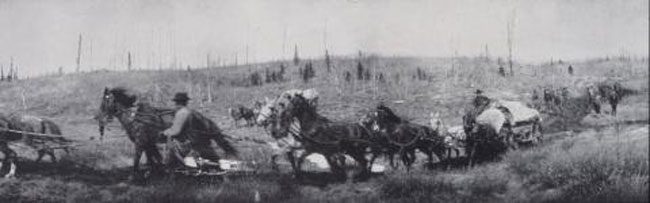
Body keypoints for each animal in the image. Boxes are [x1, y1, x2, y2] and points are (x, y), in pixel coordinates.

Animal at [96, 87, 238, 179]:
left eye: (106, 101)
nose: (99, 117)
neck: (135, 117)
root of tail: (203, 118)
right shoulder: (148, 143)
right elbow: (154, 159)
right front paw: (156, 172)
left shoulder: (140, 142)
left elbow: (138, 159)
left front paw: (133, 176)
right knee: (212, 157)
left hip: (201, 143)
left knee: (213, 157)